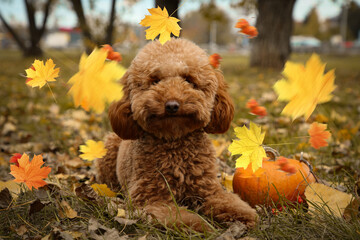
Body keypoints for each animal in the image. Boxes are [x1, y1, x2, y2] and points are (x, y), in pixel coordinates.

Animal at [97, 38, 258, 232]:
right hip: (109, 149)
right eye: (155, 81)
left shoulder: (209, 190)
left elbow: (227, 201)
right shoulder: (150, 199)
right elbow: (182, 217)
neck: (175, 142)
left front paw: (242, 215)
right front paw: (202, 227)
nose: (172, 105)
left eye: (189, 79)